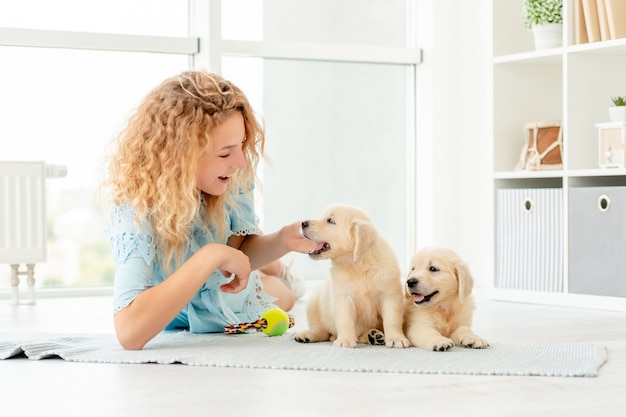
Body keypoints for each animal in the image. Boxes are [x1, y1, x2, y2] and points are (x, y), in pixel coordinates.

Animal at [294, 202, 410, 348]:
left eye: (330, 220)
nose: (303, 223)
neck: (357, 265)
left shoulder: (389, 295)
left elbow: (391, 319)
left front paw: (396, 338)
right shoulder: (343, 297)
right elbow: (345, 320)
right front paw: (345, 340)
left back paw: (374, 336)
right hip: (314, 301)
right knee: (321, 329)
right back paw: (307, 335)